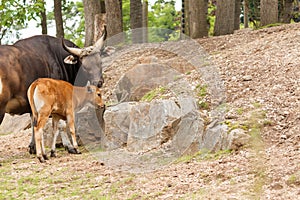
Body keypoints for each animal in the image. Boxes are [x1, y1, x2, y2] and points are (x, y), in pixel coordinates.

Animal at [0, 26, 110, 154]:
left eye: (100, 61)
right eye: (84, 64)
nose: (98, 82)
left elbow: (34, 122)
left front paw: (33, 147)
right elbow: (61, 125)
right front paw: (70, 146)